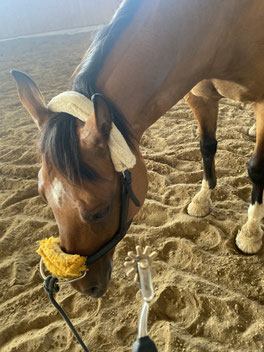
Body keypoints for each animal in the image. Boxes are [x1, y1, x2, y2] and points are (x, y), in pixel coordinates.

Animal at [11, 0, 264, 300]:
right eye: (43, 196)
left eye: (99, 211)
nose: (85, 288)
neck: (221, 23)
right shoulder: (199, 96)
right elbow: (206, 147)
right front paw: (202, 199)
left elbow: (256, 169)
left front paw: (250, 232)